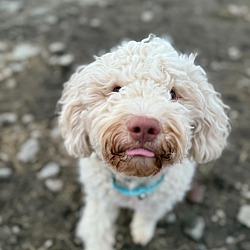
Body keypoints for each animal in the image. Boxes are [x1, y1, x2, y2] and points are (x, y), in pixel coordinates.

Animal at [58, 34, 230, 250]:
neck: (134, 181)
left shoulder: (160, 199)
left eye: (173, 94)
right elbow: (98, 225)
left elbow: (148, 214)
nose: (144, 126)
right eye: (116, 89)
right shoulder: (99, 197)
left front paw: (141, 232)